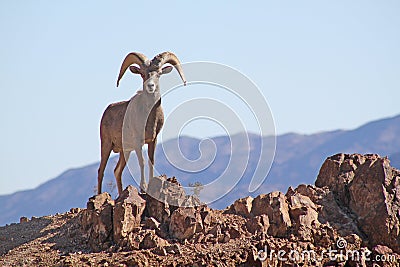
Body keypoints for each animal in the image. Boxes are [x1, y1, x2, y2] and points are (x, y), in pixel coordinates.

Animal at [97, 51, 187, 195]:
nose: (151, 86)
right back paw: (99, 195)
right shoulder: (137, 142)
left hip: (125, 151)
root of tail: (107, 111)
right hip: (106, 145)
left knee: (117, 171)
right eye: (142, 74)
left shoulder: (152, 141)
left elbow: (151, 161)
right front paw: (143, 187)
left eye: (159, 74)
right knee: (101, 171)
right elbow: (143, 162)